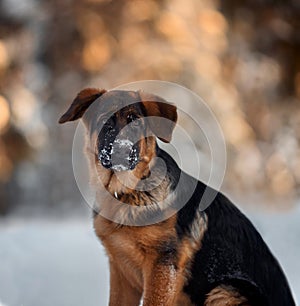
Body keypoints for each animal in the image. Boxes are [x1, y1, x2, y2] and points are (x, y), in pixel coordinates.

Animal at [59, 88, 296, 306]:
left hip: (225, 290)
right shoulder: (121, 271)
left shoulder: (163, 267)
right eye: (104, 122)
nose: (120, 152)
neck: (128, 193)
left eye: (134, 122)